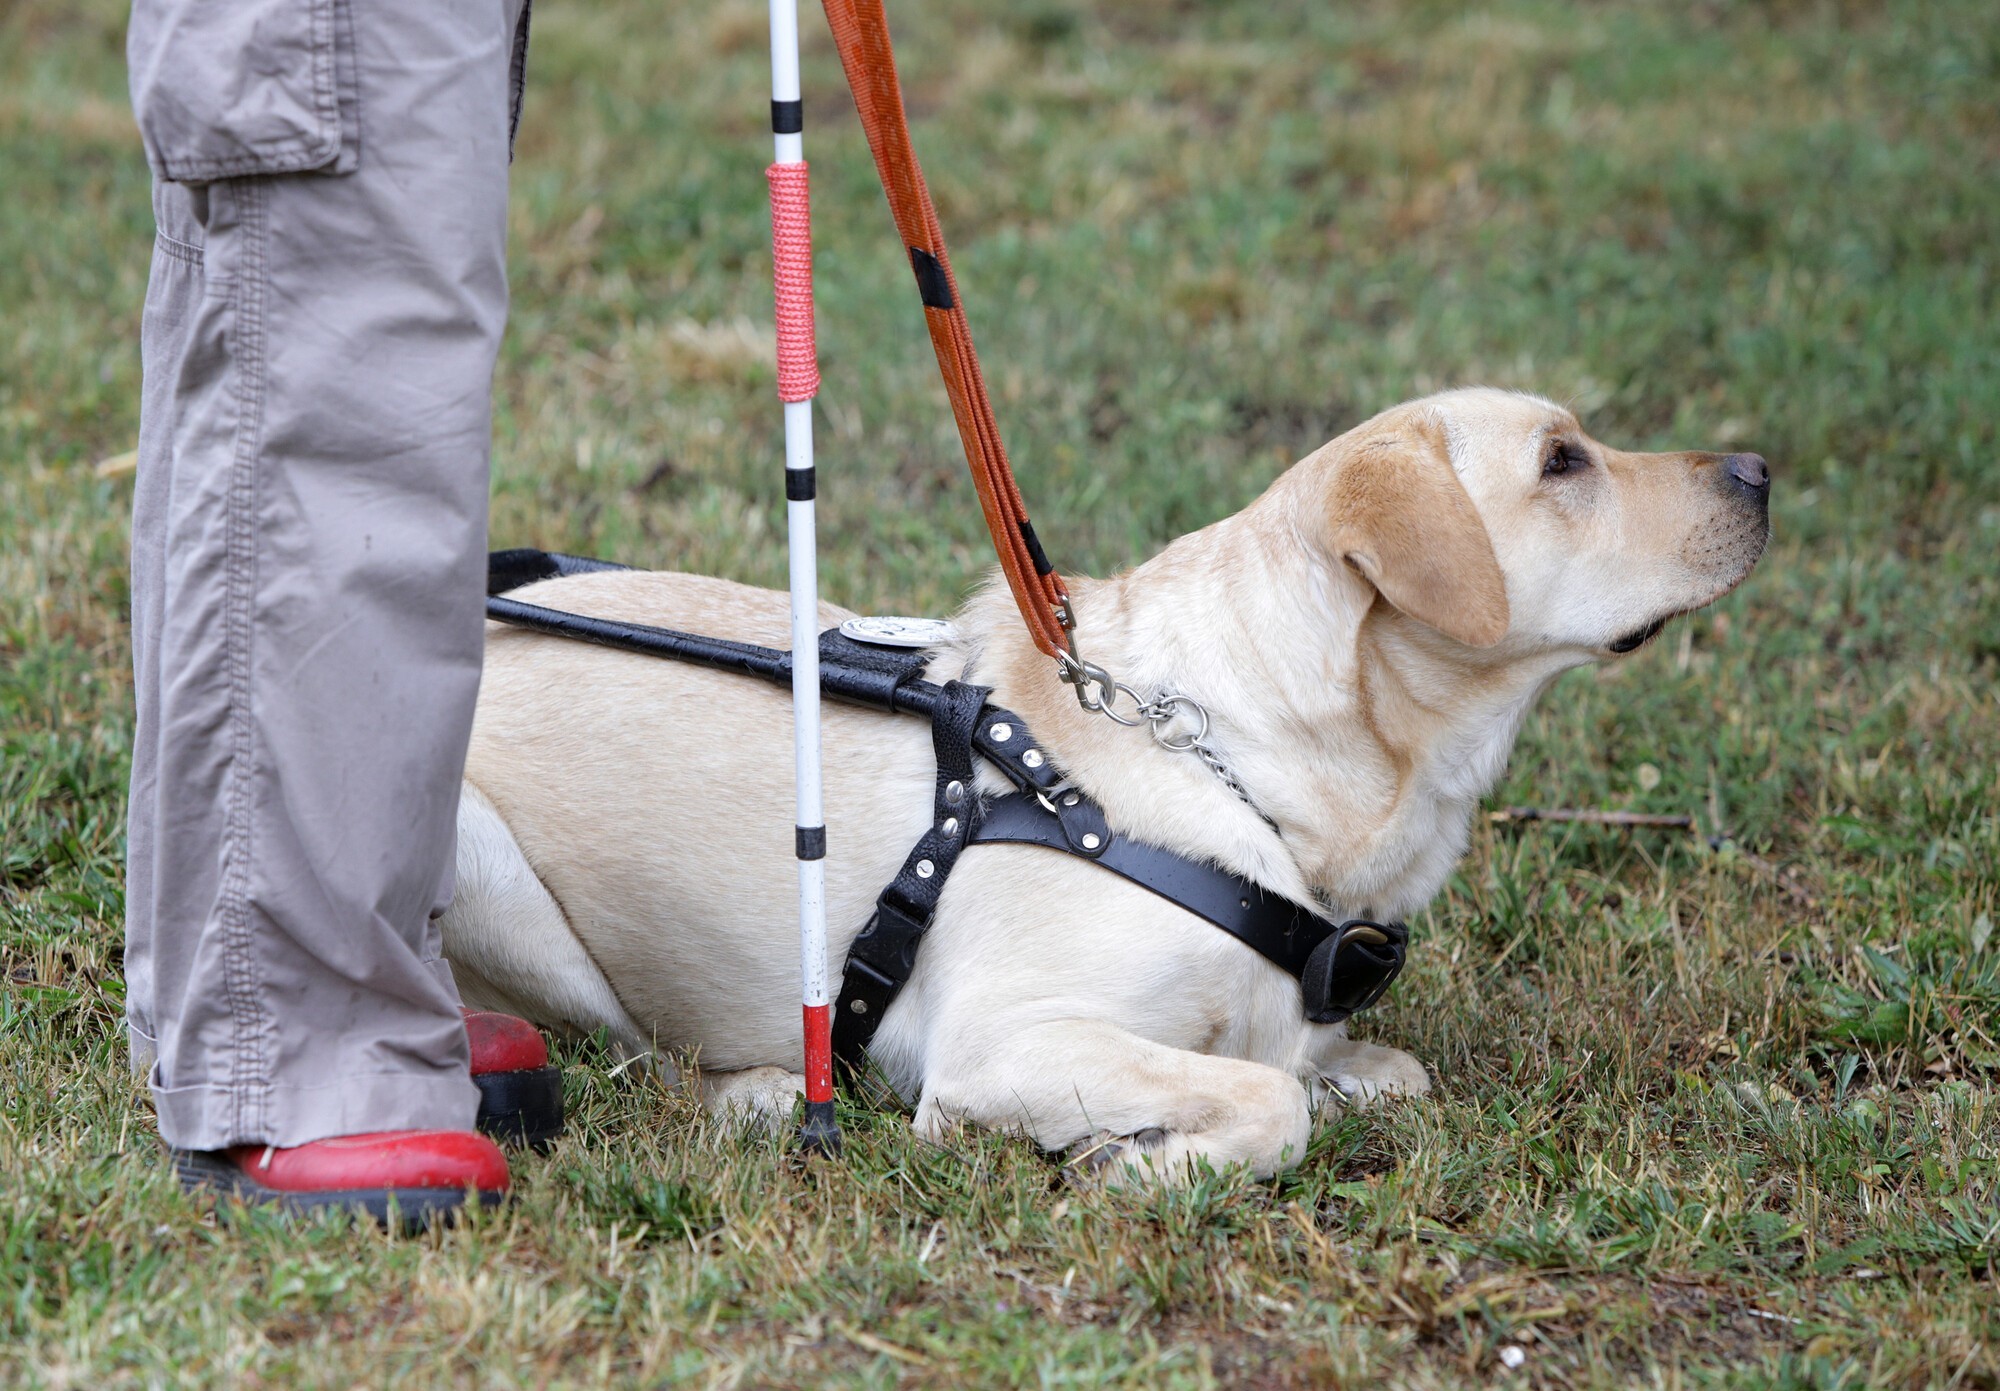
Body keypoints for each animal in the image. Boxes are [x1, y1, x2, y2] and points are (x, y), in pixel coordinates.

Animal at [438, 387, 1768, 1183]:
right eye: (1560, 461)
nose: (1760, 466)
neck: (1242, 767)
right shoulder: (1002, 1039)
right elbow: (1265, 1100)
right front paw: (1136, 1160)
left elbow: (1347, 1071)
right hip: (482, 864)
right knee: (627, 1052)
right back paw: (762, 1090)